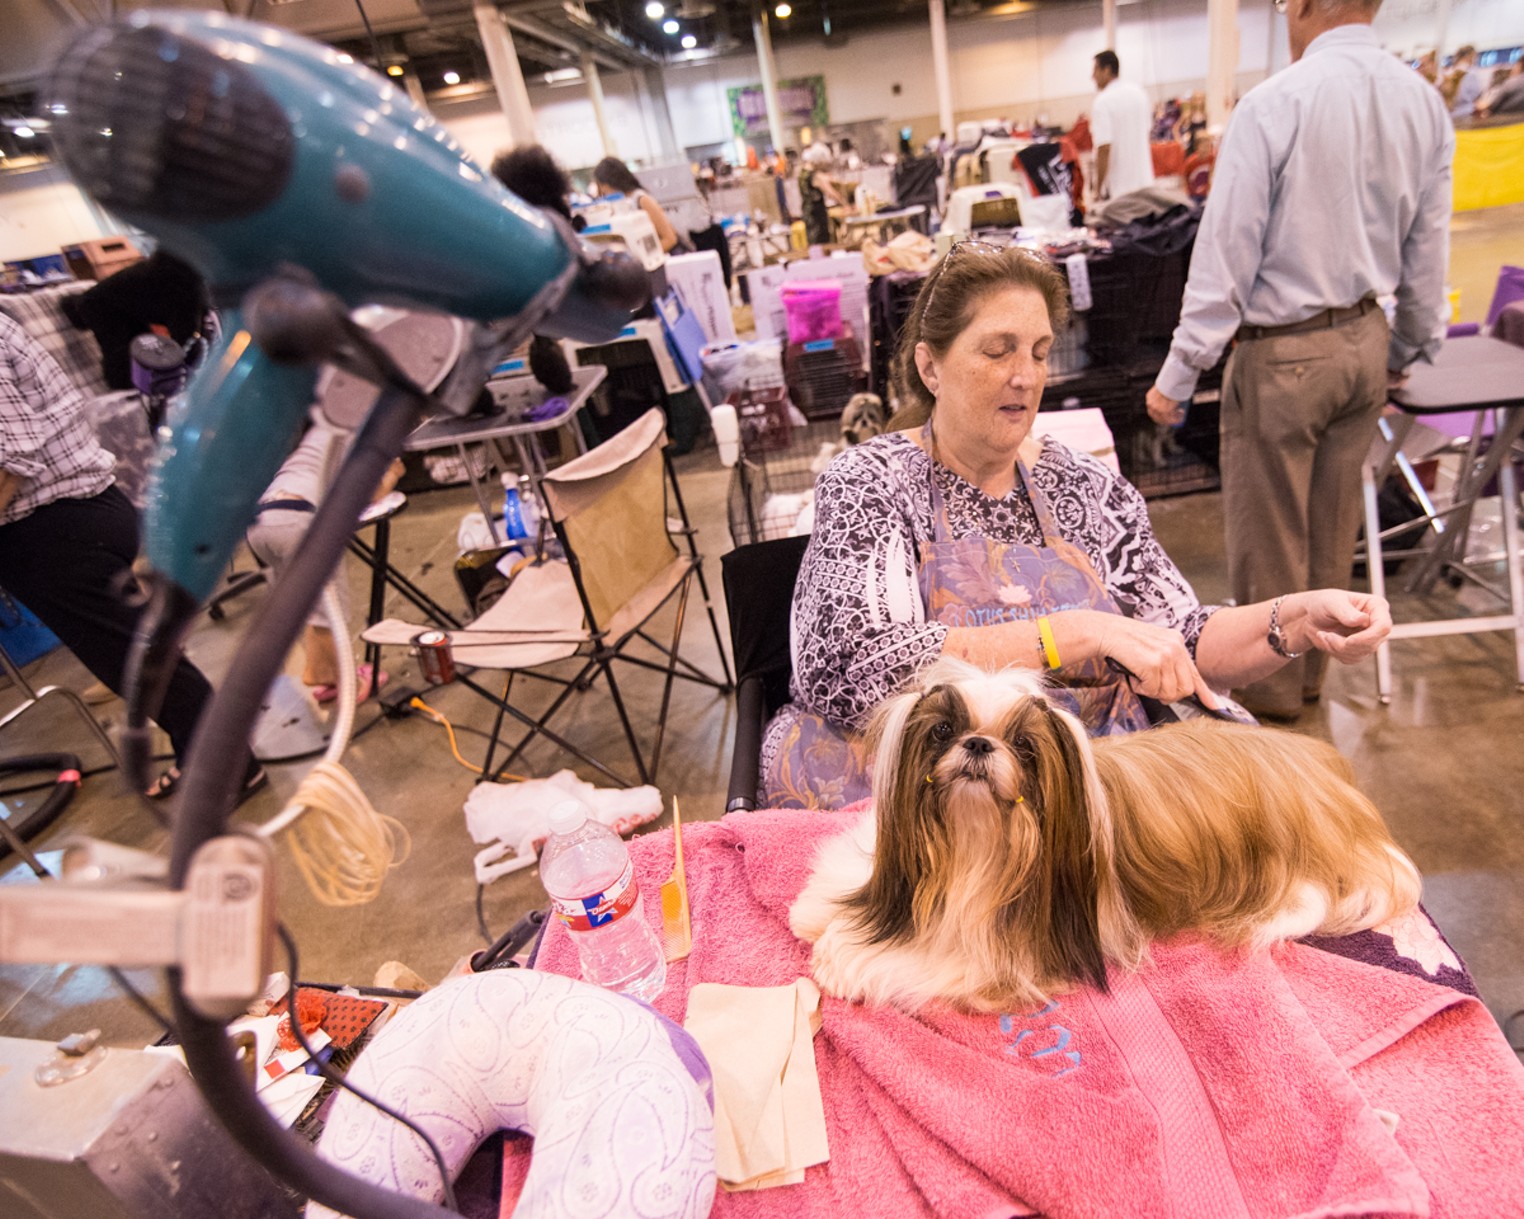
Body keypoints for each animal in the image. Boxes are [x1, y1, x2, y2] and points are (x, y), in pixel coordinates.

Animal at [792, 658, 1420, 1011]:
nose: (978, 744)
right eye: (944, 730)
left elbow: (920, 956)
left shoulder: (1009, 952)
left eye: (1025, 748)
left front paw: (844, 955)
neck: (974, 844)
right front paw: (820, 907)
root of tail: (1320, 773)